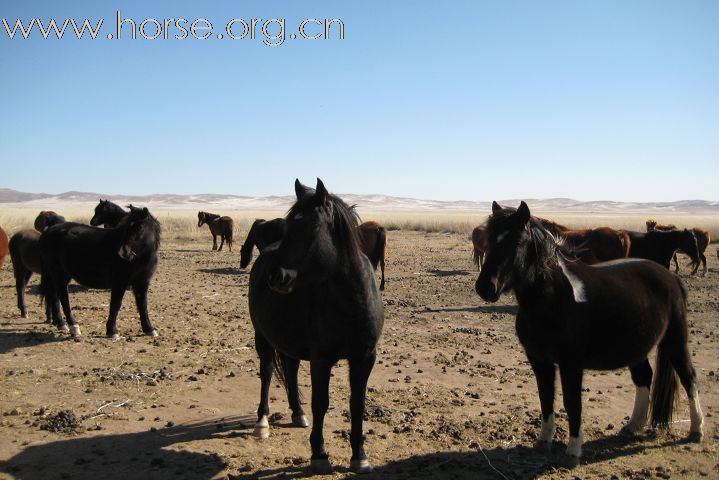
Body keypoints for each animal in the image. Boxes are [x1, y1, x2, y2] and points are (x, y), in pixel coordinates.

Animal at [41, 205, 162, 338]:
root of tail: (48, 231)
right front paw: (112, 331)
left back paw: (61, 324)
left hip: (60, 275)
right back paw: (74, 328)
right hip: (59, 274)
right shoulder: (120, 282)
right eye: (125, 226)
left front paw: (149, 329)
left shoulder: (142, 282)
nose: (123, 252)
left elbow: (142, 305)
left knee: (54, 297)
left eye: (140, 227)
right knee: (63, 298)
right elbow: (115, 304)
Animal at [249, 177, 386, 472]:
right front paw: (319, 454)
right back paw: (262, 422)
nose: (276, 276)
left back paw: (297, 413)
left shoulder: (365, 357)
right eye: (288, 225)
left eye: (312, 225)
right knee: (267, 372)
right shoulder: (322, 359)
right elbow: (321, 403)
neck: (351, 301)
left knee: (290, 370)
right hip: (262, 337)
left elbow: (357, 404)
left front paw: (360, 456)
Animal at [476, 201, 704, 466]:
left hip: (675, 341)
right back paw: (633, 426)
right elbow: (545, 398)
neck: (555, 298)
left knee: (688, 377)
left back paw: (696, 430)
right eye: (490, 240)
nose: (485, 287)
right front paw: (543, 442)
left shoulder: (571, 364)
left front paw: (573, 451)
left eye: (517, 242)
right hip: (635, 347)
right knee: (644, 377)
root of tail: (671, 279)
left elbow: (572, 403)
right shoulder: (539, 361)